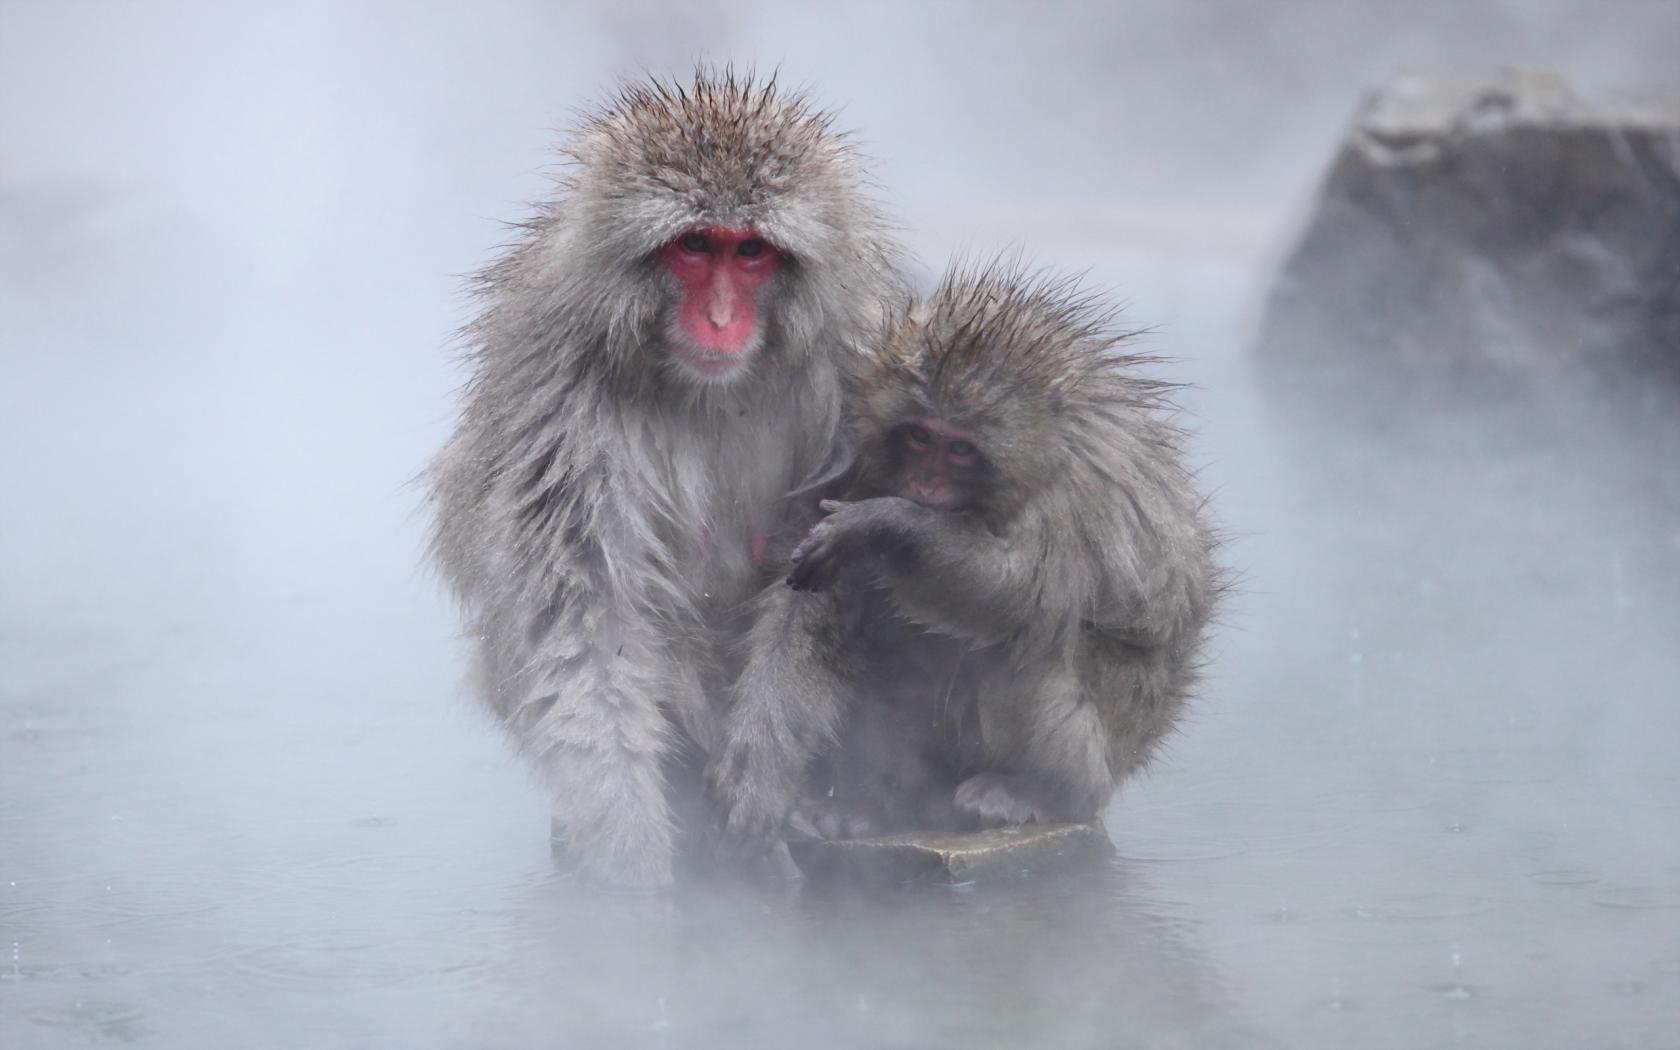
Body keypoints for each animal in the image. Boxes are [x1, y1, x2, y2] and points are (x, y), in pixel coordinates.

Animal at [426, 70, 902, 888]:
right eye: (693, 246)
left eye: (751, 251)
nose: (719, 319)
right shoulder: (556, 395)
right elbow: (582, 619)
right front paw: (629, 859)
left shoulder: (859, 368)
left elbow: (836, 558)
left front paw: (764, 759)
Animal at [710, 258, 1221, 845]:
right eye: (918, 438)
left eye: (959, 449)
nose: (925, 486)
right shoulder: (855, 451)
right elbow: (812, 598)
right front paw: (758, 768)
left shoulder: (1072, 489)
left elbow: (1022, 591)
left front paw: (885, 524)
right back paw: (874, 801)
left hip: (1100, 750)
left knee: (1022, 640)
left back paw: (1040, 793)